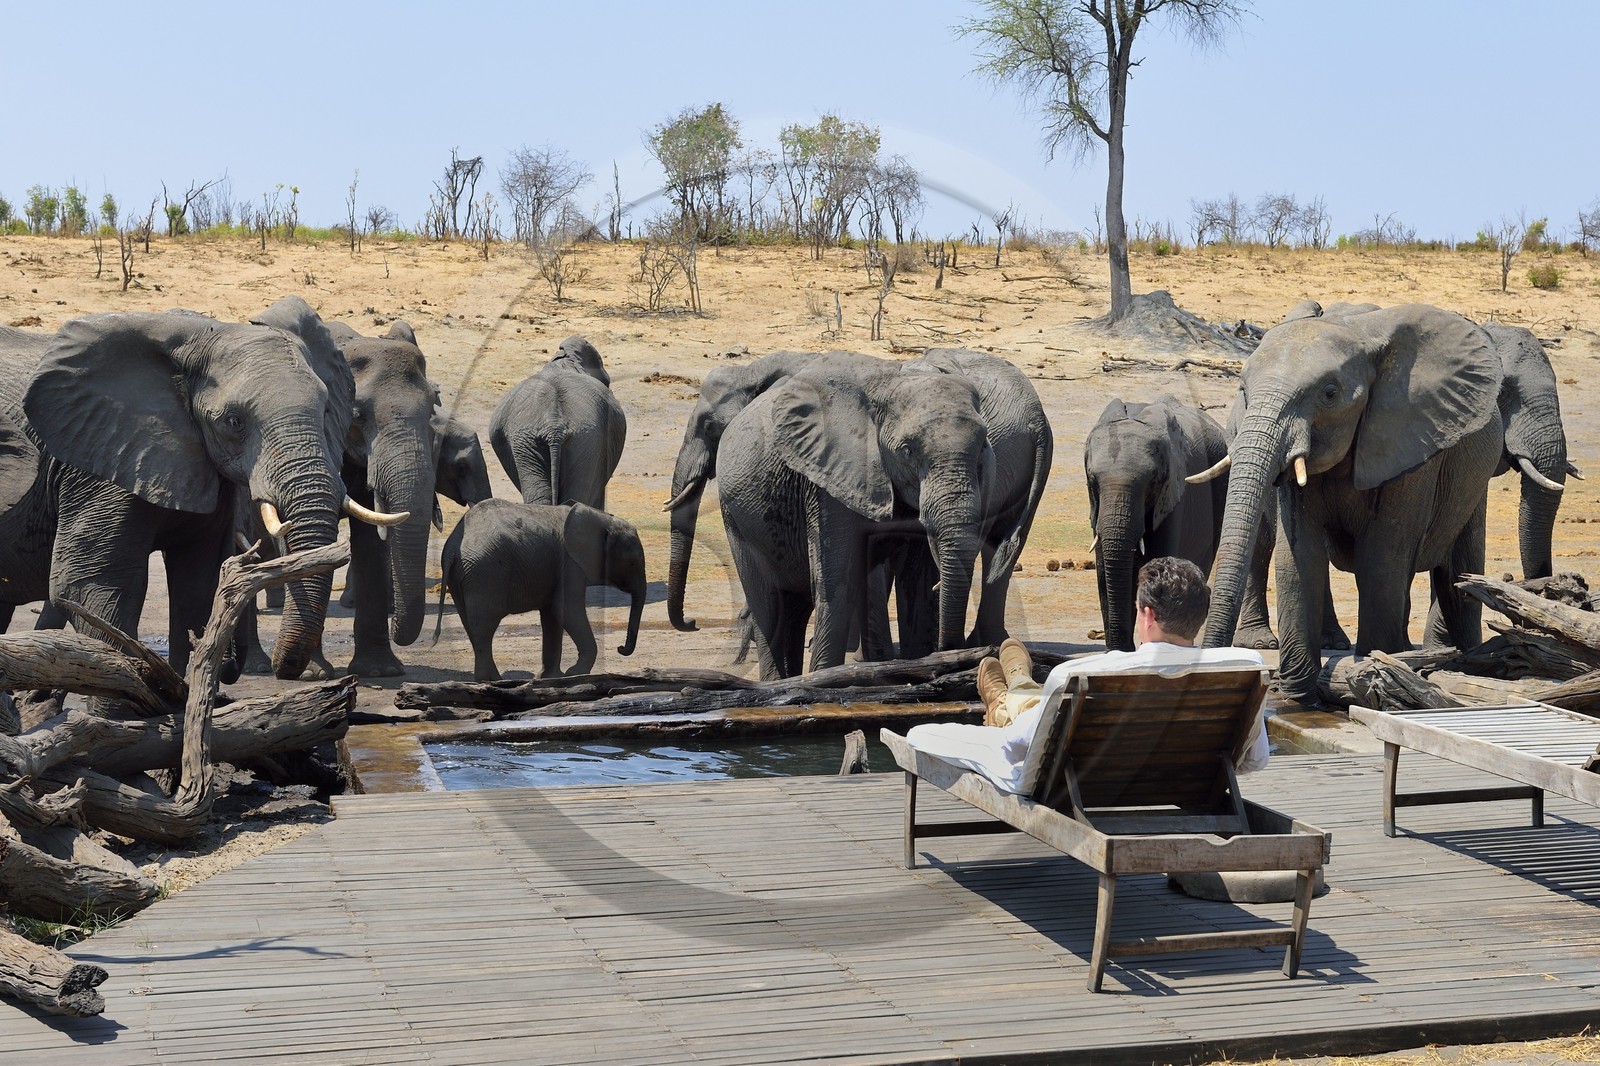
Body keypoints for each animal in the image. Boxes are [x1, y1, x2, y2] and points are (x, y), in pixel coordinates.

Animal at [0, 299, 397, 679]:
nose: (275, 669)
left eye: (328, 409)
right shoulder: (97, 459)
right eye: (234, 422)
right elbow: (92, 585)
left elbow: (198, 581)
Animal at [437, 499, 645, 681]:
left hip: (463, 575)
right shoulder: (570, 563)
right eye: (632, 563)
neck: (602, 519)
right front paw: (574, 673)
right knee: (483, 625)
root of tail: (451, 548)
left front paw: (549, 677)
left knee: (470, 623)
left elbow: (552, 615)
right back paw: (492, 680)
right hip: (485, 573)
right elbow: (566, 609)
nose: (620, 648)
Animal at [716, 353, 992, 679]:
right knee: (769, 604)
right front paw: (825, 678)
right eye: (907, 451)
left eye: (983, 446)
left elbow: (917, 582)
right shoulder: (828, 481)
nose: (951, 651)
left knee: (795, 605)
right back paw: (776, 682)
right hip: (735, 518)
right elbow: (838, 581)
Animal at [1196, 303, 1505, 704]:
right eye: (1243, 390)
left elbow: (1382, 555)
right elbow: (1298, 555)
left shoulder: (1411, 440)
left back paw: (1462, 659)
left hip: (1475, 475)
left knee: (1457, 574)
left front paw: (1375, 673)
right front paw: (1299, 699)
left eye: (1330, 393)